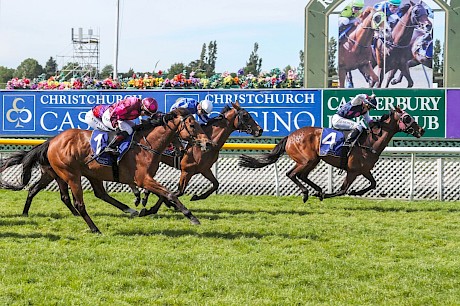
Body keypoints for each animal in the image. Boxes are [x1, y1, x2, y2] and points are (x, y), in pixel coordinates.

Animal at [0, 109, 212, 233]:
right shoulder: (143, 178)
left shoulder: (145, 179)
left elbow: (165, 194)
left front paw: (147, 207)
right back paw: (94, 228)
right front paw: (191, 216)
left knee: (100, 194)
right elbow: (169, 193)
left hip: (90, 174)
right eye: (192, 124)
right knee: (78, 203)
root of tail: (52, 141)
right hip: (70, 175)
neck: (147, 144)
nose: (207, 143)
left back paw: (130, 210)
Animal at [241, 106, 424, 202]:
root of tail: (290, 136)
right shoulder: (352, 171)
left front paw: (356, 192)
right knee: (292, 174)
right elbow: (343, 190)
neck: (370, 142)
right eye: (407, 117)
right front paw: (330, 194)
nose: (421, 130)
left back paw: (317, 190)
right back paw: (308, 193)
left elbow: (373, 184)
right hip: (306, 160)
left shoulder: (364, 170)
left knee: (301, 175)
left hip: (313, 160)